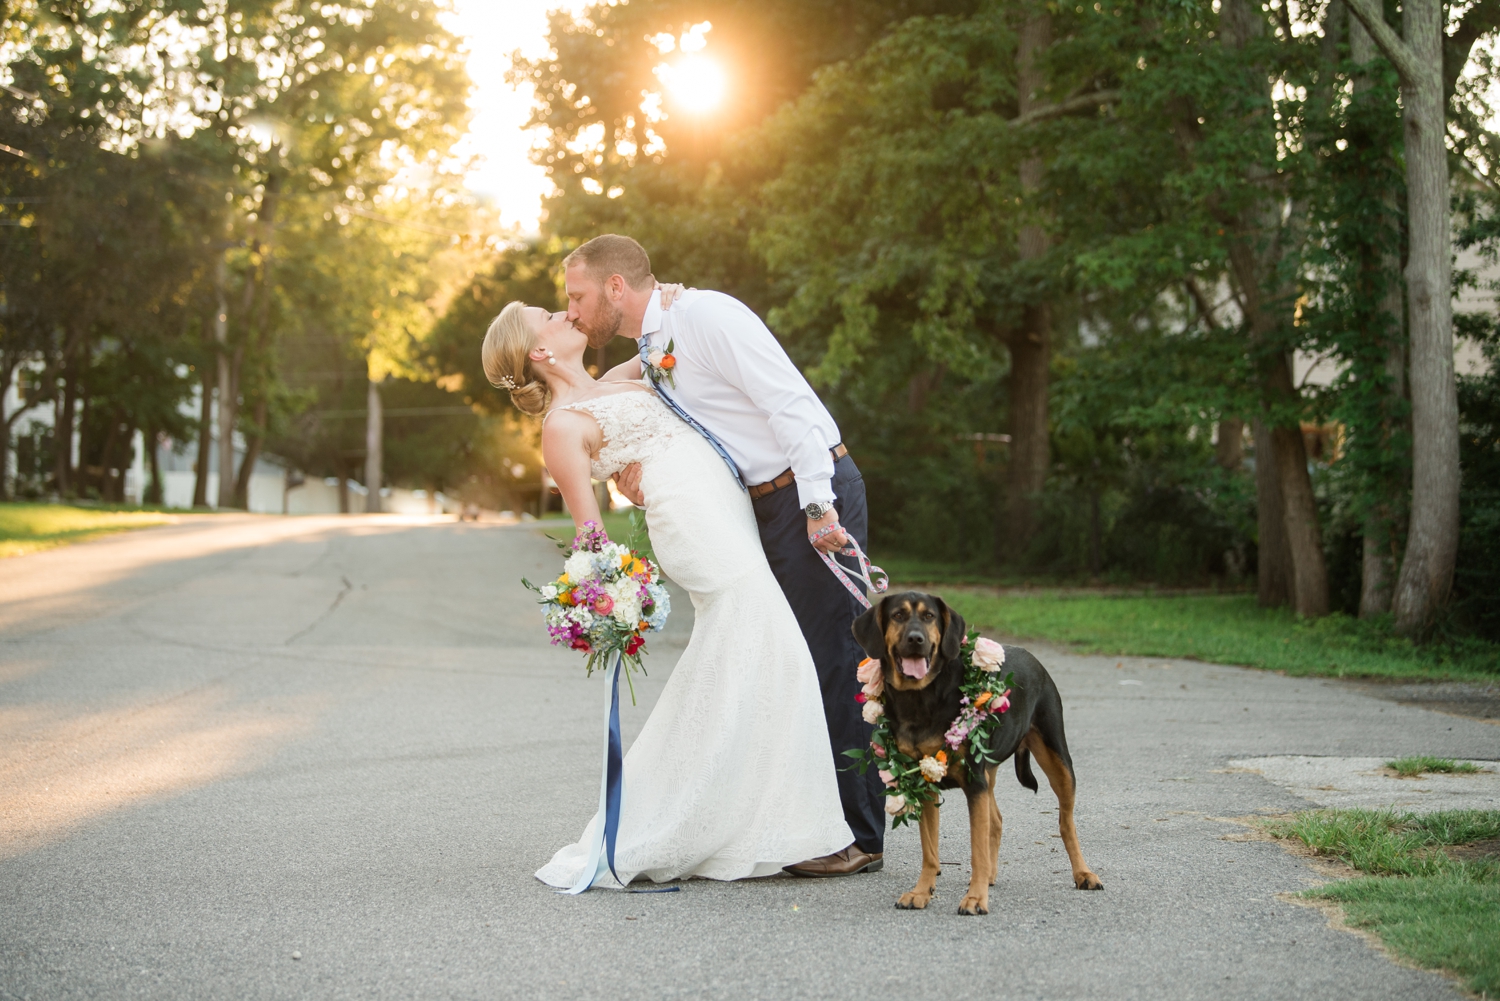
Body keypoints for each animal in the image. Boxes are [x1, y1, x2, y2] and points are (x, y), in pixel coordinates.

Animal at [858, 594, 1104, 918]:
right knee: (996, 820)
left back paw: (1083, 873)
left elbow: (976, 848)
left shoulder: (974, 782)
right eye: (898, 615)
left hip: (1057, 758)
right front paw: (922, 892)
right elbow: (930, 850)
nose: (916, 639)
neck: (920, 698)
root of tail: (1033, 657)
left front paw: (975, 899)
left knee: (1066, 822)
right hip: (990, 770)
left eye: (929, 616)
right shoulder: (924, 782)